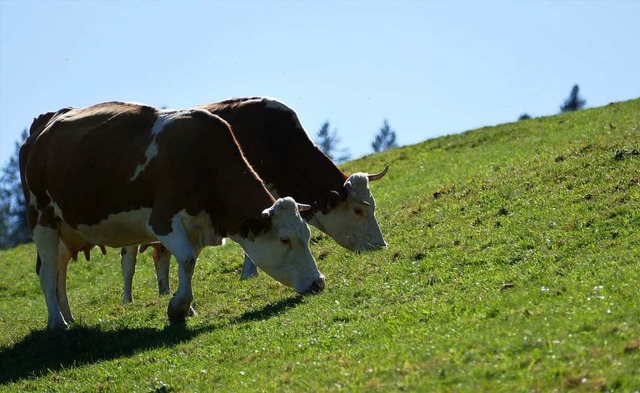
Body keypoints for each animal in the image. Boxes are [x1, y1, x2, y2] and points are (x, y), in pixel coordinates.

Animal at [20, 101, 324, 328]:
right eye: (285, 239)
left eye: (307, 234)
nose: (318, 282)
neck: (203, 159)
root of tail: (43, 124)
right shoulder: (162, 221)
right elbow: (187, 259)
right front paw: (177, 307)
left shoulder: (198, 226)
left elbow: (187, 263)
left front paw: (185, 306)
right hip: (42, 217)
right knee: (47, 271)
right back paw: (57, 323)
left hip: (65, 229)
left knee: (59, 271)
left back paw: (67, 316)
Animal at [121, 97, 390, 304]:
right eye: (358, 210)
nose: (380, 245)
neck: (272, 140)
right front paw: (249, 274)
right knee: (129, 259)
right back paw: (127, 299)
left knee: (161, 255)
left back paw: (164, 291)